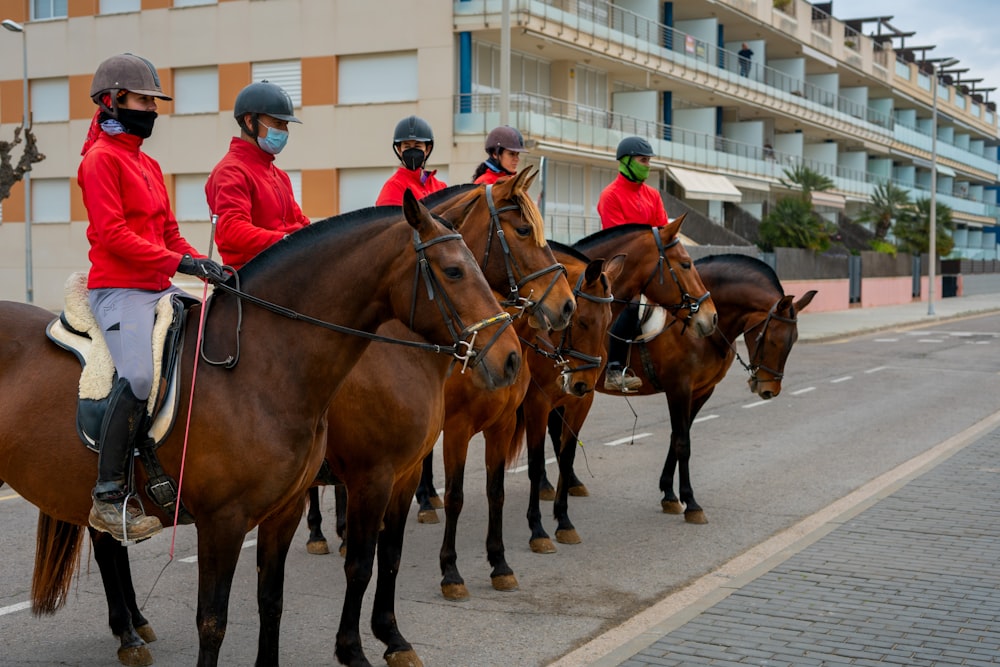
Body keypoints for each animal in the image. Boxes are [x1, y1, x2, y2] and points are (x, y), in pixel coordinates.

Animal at [0, 189, 520, 667]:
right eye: (454, 271)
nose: (511, 357)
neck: (261, 366)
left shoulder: (294, 507)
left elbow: (277, 600)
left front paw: (388, 638)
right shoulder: (236, 519)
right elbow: (219, 618)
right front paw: (358, 648)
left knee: (107, 541)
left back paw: (132, 630)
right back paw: (129, 632)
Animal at [548, 253, 812, 536]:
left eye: (793, 341)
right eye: (771, 339)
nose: (768, 389)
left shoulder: (701, 391)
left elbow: (677, 437)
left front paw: (669, 494)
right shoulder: (679, 389)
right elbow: (683, 443)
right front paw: (691, 503)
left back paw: (568, 483)